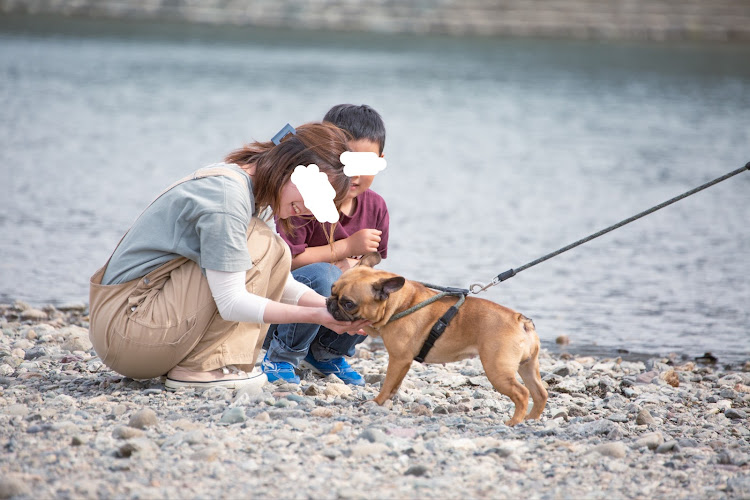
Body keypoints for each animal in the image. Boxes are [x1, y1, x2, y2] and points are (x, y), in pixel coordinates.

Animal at [328, 254, 548, 426]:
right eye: (332, 289)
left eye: (348, 303)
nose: (330, 302)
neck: (401, 303)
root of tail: (521, 321)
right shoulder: (401, 363)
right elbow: (394, 385)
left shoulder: (398, 359)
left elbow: (387, 383)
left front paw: (377, 401)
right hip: (527, 366)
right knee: (540, 393)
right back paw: (531, 419)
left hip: (498, 369)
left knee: (522, 394)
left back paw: (514, 422)